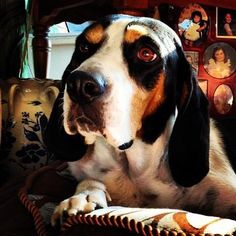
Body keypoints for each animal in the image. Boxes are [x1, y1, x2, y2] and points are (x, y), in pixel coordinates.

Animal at [43, 14, 236, 225]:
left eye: (146, 53)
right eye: (84, 47)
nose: (79, 84)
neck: (135, 166)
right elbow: (90, 182)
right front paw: (83, 196)